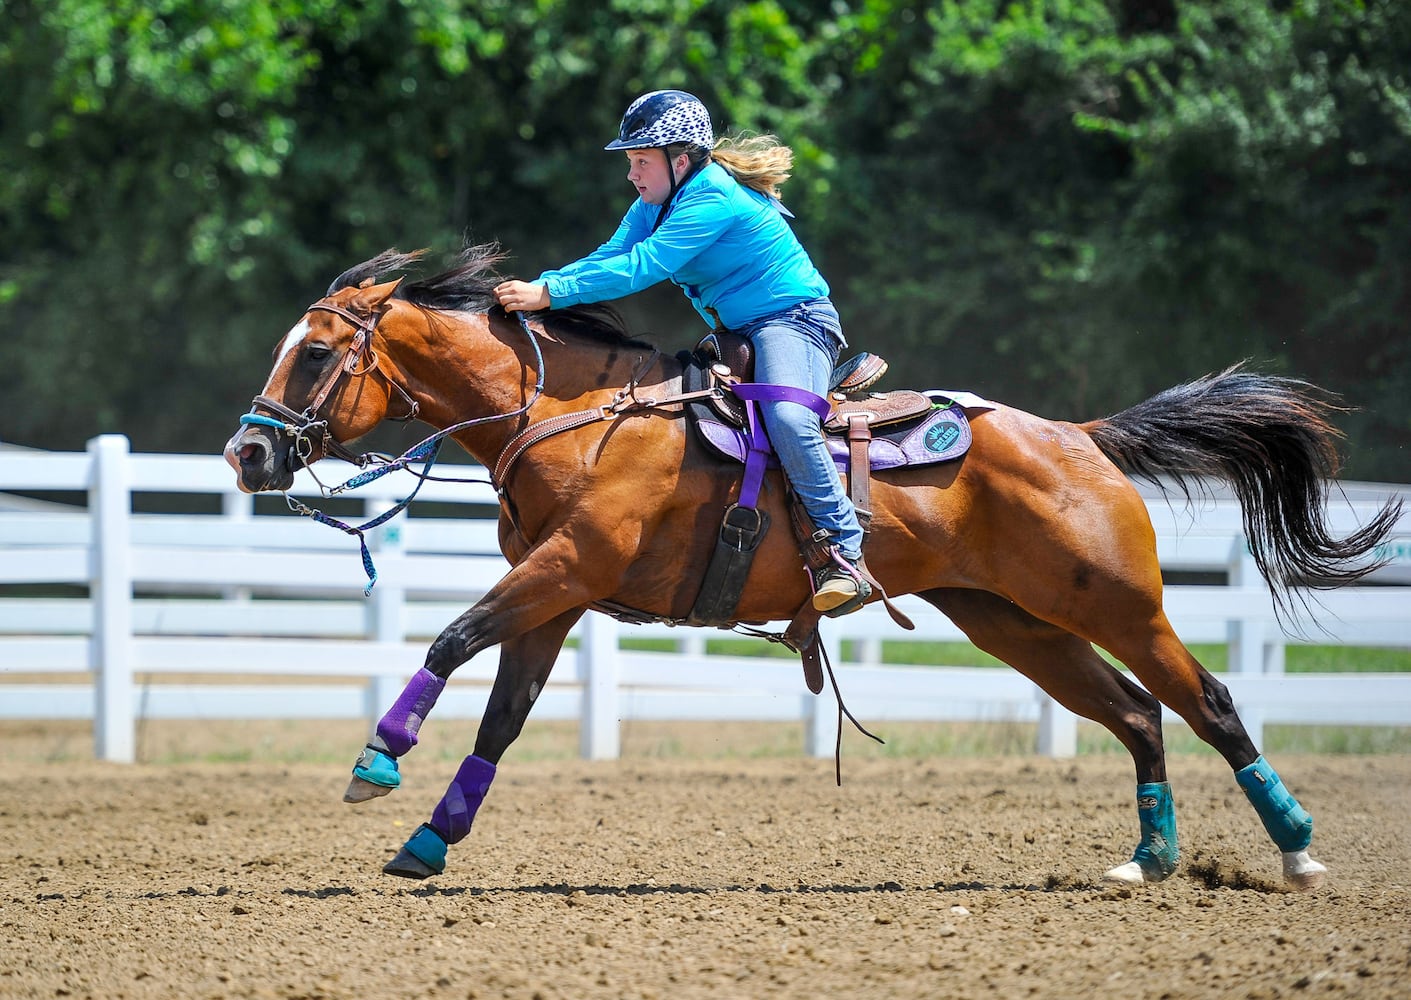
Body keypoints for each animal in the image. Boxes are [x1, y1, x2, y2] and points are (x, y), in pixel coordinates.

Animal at [225, 245, 1405, 885]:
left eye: (316, 352)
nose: (247, 454)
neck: (577, 416)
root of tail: (1080, 437)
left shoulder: (562, 571)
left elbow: (449, 636)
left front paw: (375, 765)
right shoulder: (557, 599)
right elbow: (502, 718)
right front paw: (430, 839)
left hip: (1120, 605)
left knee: (1208, 701)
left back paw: (1296, 850)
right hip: (1013, 621)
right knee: (1133, 714)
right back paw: (1149, 859)